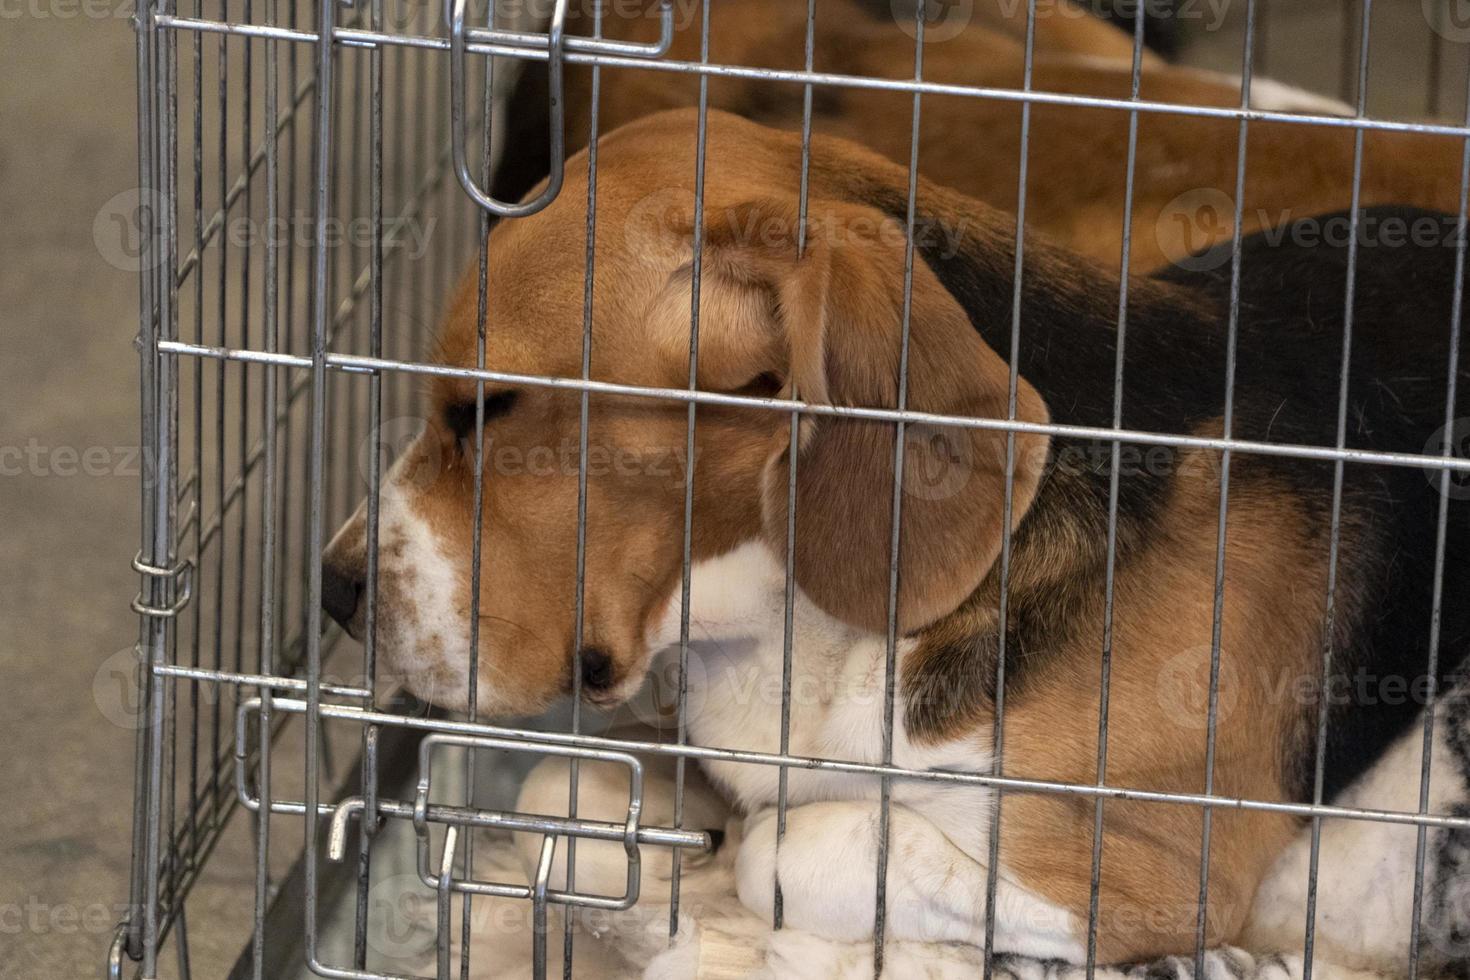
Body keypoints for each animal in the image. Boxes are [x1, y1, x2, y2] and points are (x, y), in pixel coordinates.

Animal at [316, 3, 1470, 975]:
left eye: (489, 408)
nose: (332, 588)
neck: (787, 629)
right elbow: (570, 788)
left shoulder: (1141, 868)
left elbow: (791, 850)